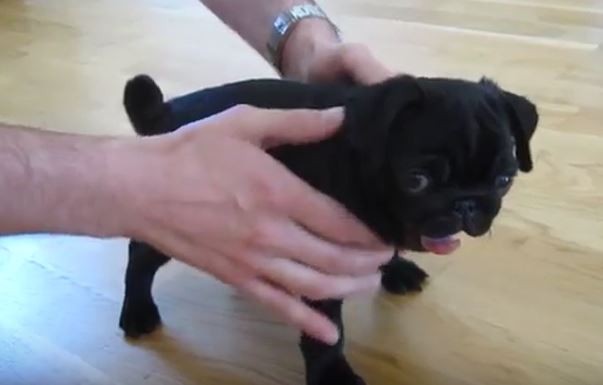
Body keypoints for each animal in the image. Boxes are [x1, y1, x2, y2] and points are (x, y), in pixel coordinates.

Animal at [118, 73, 536, 384]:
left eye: (503, 180)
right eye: (416, 180)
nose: (465, 204)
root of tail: (165, 111)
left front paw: (396, 269)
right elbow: (327, 334)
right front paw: (333, 376)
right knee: (139, 258)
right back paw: (137, 310)